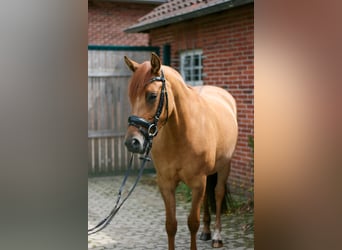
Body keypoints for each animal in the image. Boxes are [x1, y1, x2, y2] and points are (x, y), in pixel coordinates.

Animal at [123, 52, 238, 248]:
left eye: (152, 95)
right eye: (130, 96)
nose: (132, 142)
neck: (181, 133)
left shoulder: (198, 183)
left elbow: (192, 222)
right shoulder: (166, 183)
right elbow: (171, 225)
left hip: (224, 167)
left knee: (217, 194)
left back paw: (216, 235)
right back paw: (206, 232)